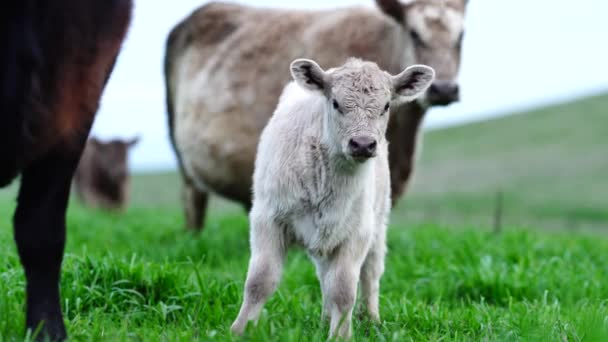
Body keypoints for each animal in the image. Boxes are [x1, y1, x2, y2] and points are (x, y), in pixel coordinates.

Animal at [230, 57, 434, 338]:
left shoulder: (357, 232)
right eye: (335, 103)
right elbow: (260, 279)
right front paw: (240, 329)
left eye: (386, 106)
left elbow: (344, 289)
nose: (363, 144)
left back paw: (370, 319)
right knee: (325, 274)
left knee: (370, 272)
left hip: (378, 220)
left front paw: (340, 335)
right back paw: (326, 319)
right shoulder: (267, 218)